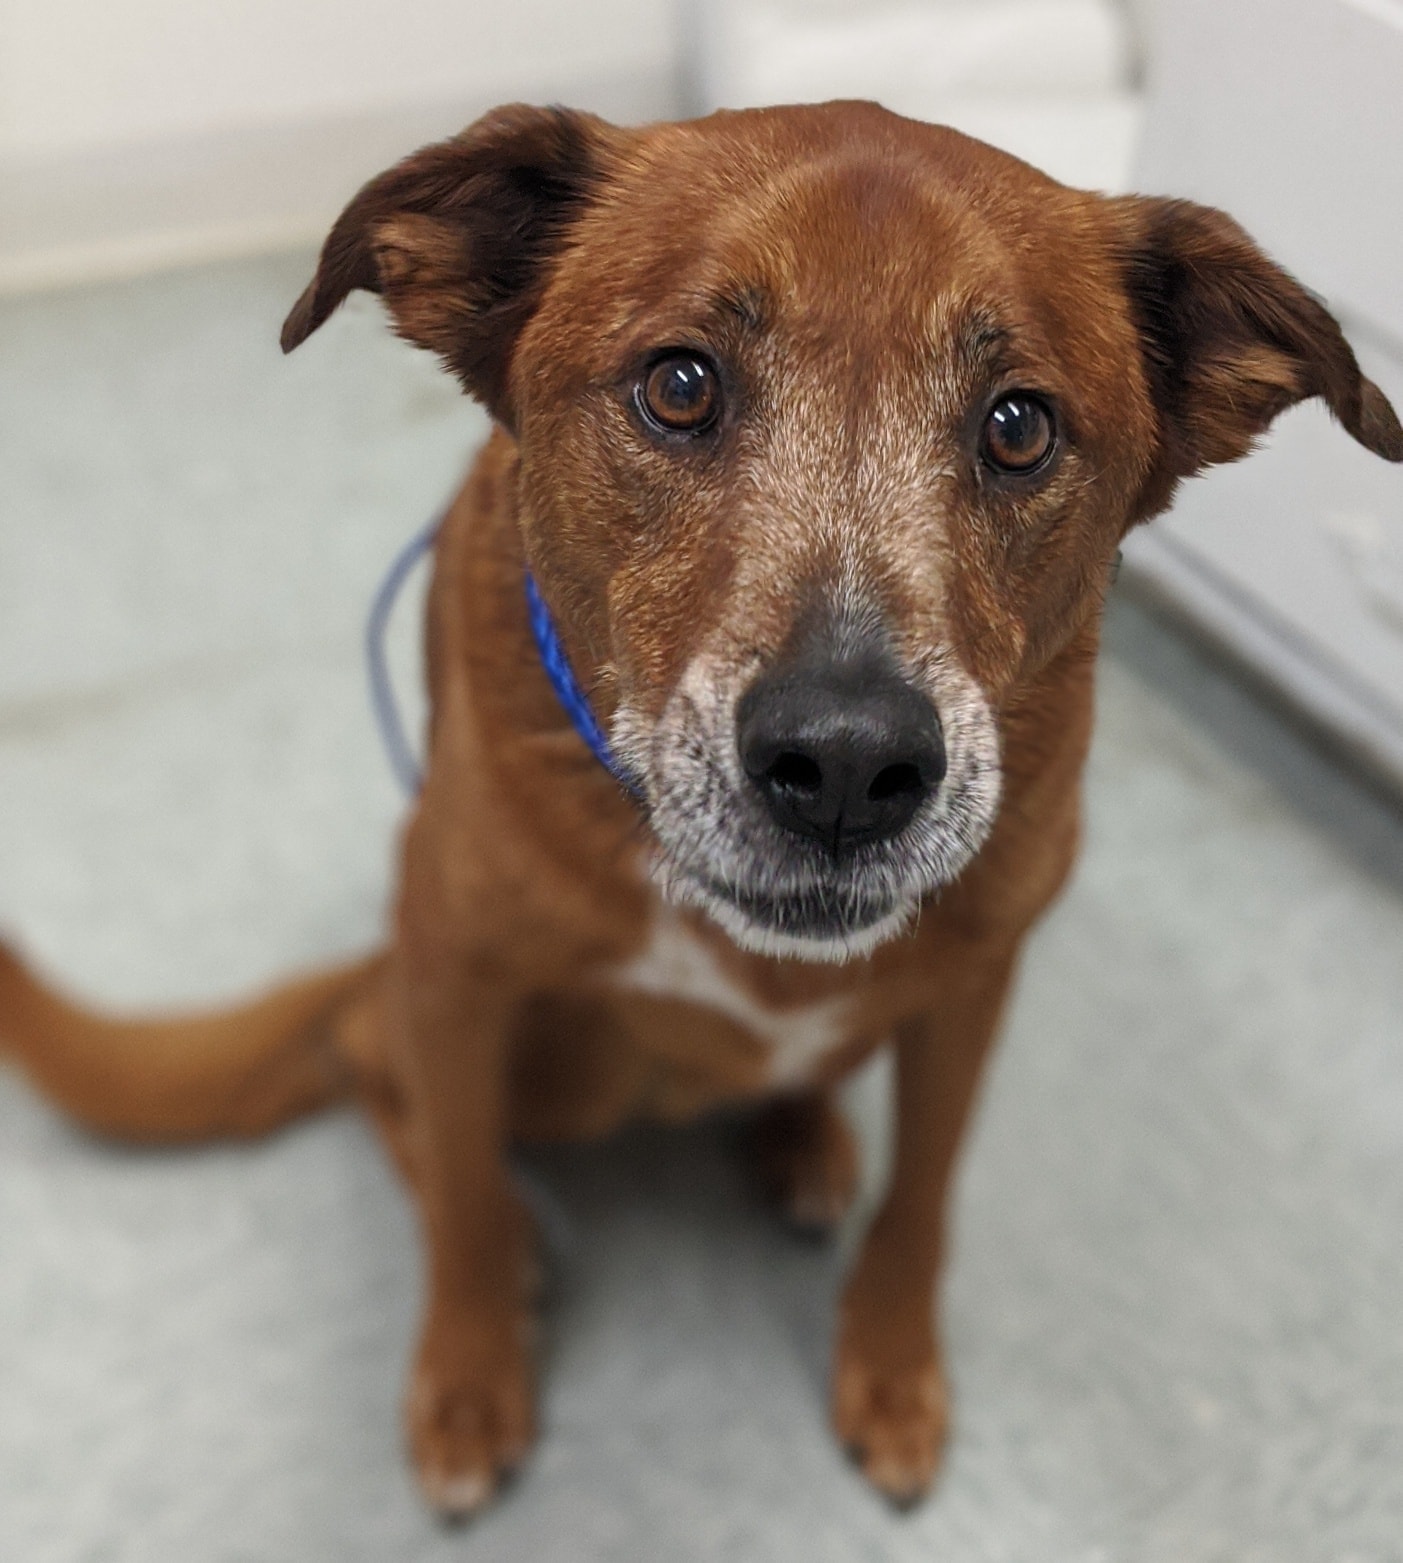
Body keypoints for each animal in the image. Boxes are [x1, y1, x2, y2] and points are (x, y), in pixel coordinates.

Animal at [3, 101, 1400, 1516]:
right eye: (678, 387)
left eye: (1019, 426)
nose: (844, 766)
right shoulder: (456, 973)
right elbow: (457, 1190)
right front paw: (469, 1366)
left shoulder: (972, 988)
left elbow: (924, 1202)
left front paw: (891, 1369)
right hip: (509, 1041)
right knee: (385, 1080)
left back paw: (800, 1142)